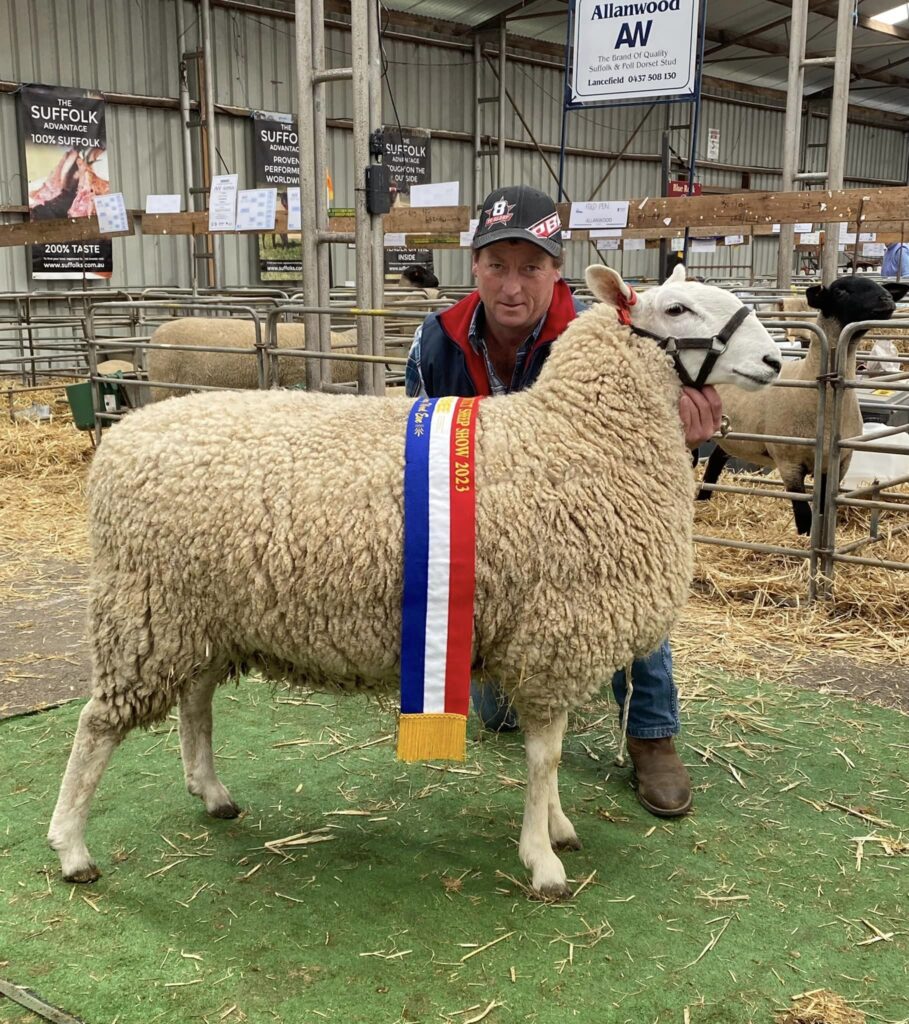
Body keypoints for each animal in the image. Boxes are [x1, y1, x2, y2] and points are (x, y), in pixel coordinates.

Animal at [44, 264, 782, 897]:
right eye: (678, 309)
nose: (775, 362)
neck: (580, 434)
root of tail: (122, 439)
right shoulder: (555, 634)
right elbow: (543, 758)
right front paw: (542, 859)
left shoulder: (551, 640)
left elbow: (548, 755)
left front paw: (556, 826)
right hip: (146, 608)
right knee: (95, 725)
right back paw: (73, 847)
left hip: (199, 609)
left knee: (194, 701)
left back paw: (212, 793)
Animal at [700, 278, 904, 536]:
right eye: (841, 291)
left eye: (880, 286)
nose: (887, 299)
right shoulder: (789, 462)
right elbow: (803, 512)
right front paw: (805, 537)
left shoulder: (838, 463)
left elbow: (825, 507)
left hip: (733, 435)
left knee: (716, 460)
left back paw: (703, 498)